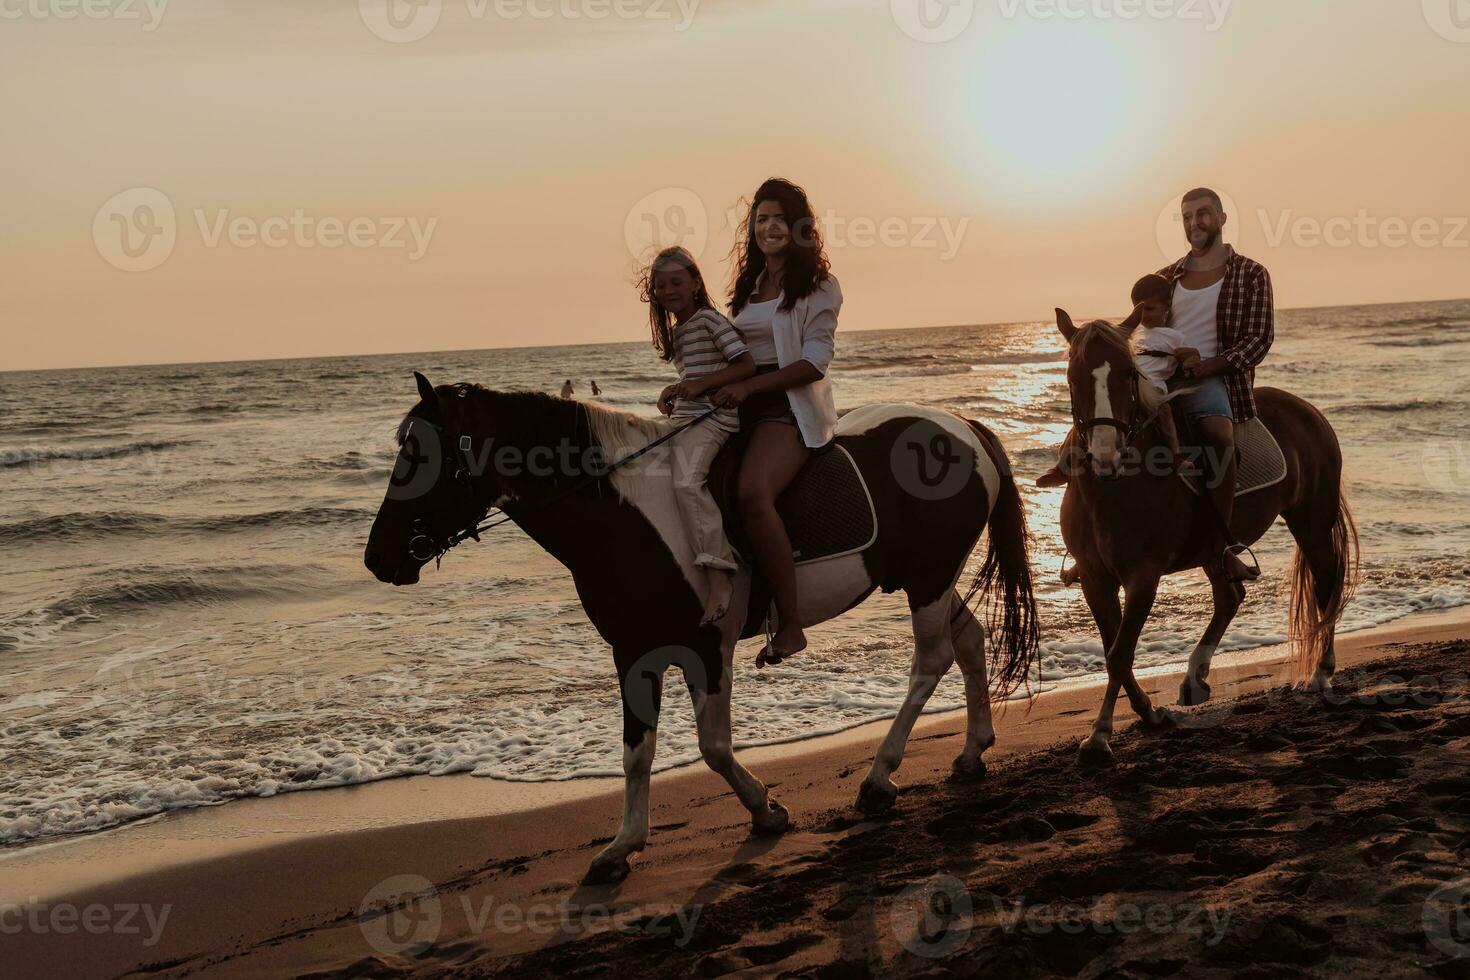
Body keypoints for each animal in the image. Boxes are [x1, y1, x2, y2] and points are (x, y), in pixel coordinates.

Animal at [361, 373, 1040, 881]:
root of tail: (963, 426)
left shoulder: (708, 646)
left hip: (928, 579)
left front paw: (766, 811)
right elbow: (637, 752)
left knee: (931, 660)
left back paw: (879, 779)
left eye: (420, 455)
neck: (629, 518)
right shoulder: (634, 652)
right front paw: (622, 847)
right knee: (968, 641)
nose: (378, 558)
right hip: (926, 578)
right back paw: (972, 751)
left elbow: (712, 746)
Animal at [1058, 308, 1352, 764]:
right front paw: (1148, 714)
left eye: (1128, 374)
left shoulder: (1144, 576)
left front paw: (1100, 736)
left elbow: (1120, 653)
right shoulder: (1094, 578)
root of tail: (1307, 410)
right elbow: (1113, 650)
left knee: (1326, 582)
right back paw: (1195, 677)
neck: (1110, 491)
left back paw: (1321, 674)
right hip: (1216, 549)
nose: (1106, 454)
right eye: (1074, 376)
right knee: (1230, 596)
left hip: (1312, 521)